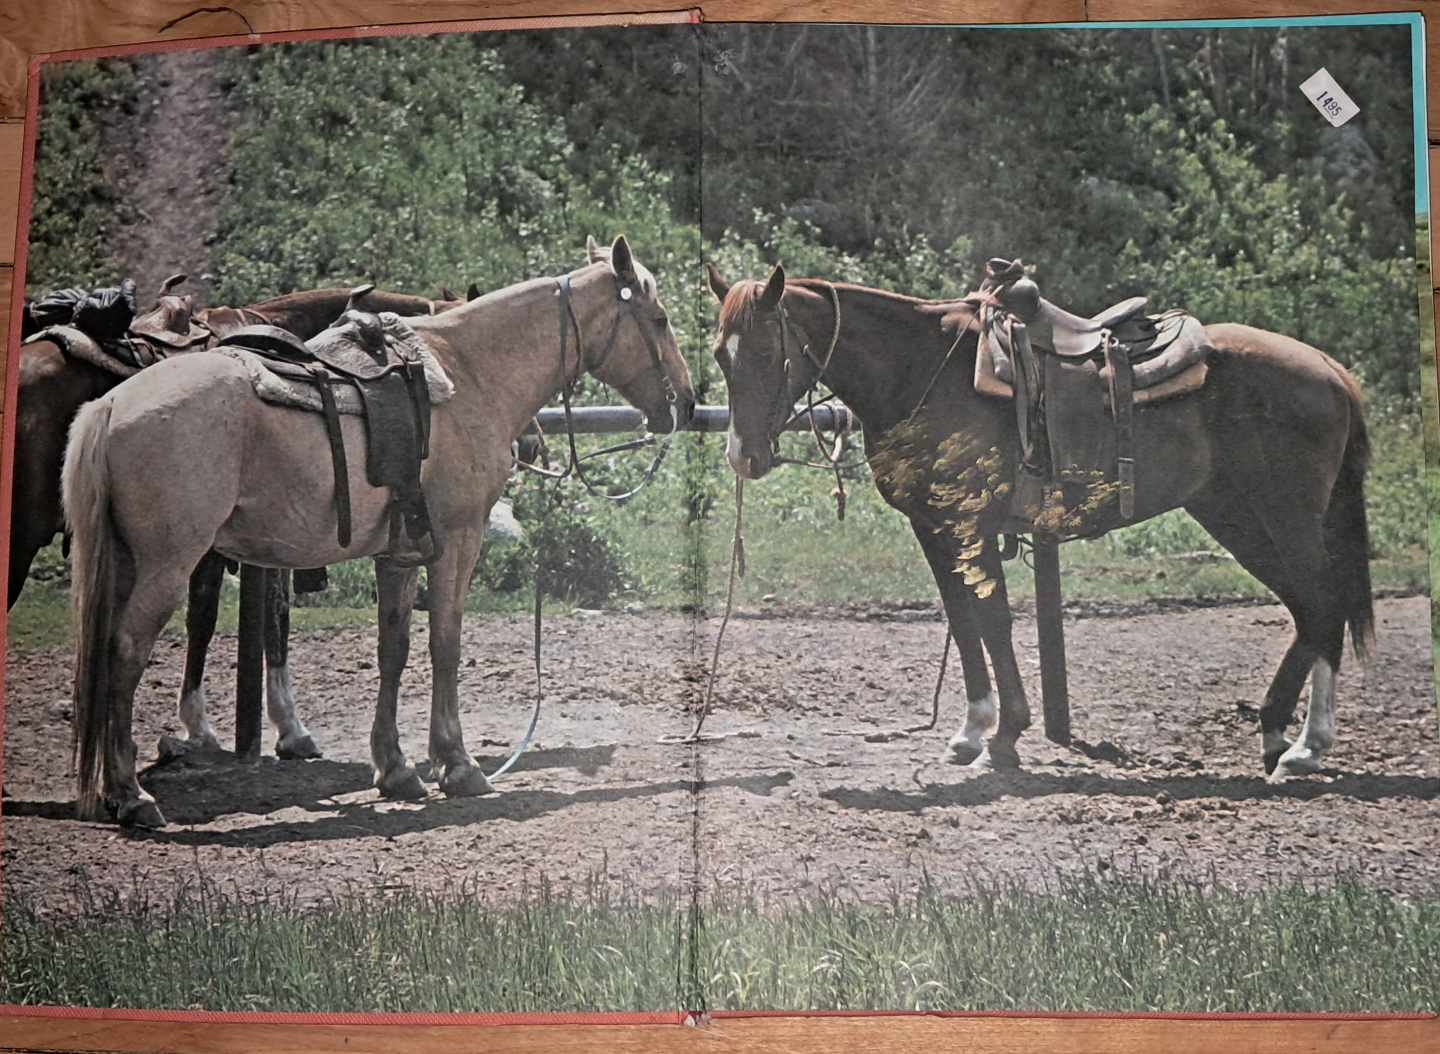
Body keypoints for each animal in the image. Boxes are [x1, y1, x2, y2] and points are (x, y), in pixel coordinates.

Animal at [63, 236, 694, 827]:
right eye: (661, 320)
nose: (685, 404)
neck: (471, 371)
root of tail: (110, 407)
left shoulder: (399, 553)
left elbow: (394, 649)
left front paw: (396, 769)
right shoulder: (456, 542)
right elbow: (445, 644)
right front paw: (457, 764)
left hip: (126, 562)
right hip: (167, 564)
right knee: (124, 652)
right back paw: (130, 795)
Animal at [705, 263, 1372, 784]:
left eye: (763, 351)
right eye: (719, 354)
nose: (744, 456)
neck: (919, 369)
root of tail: (1328, 368)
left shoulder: (970, 524)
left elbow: (993, 622)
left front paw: (1003, 739)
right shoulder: (934, 527)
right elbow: (963, 621)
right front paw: (972, 732)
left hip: (1284, 515)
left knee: (1322, 603)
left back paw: (1304, 746)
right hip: (1233, 515)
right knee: (1308, 610)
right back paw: (1280, 736)